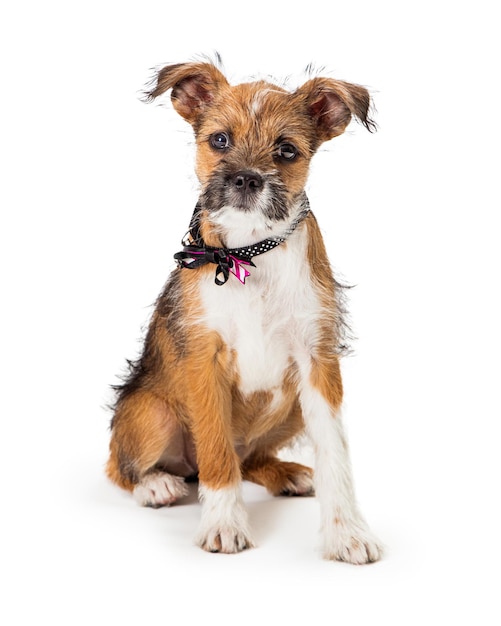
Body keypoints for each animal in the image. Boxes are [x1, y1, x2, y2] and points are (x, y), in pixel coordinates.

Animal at [106, 58, 382, 564]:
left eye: (286, 150)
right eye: (219, 140)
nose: (247, 179)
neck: (249, 253)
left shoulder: (318, 363)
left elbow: (335, 455)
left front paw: (347, 532)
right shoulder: (205, 361)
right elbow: (216, 451)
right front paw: (223, 524)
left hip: (293, 408)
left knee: (249, 459)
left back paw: (287, 473)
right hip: (153, 414)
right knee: (122, 465)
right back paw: (155, 484)